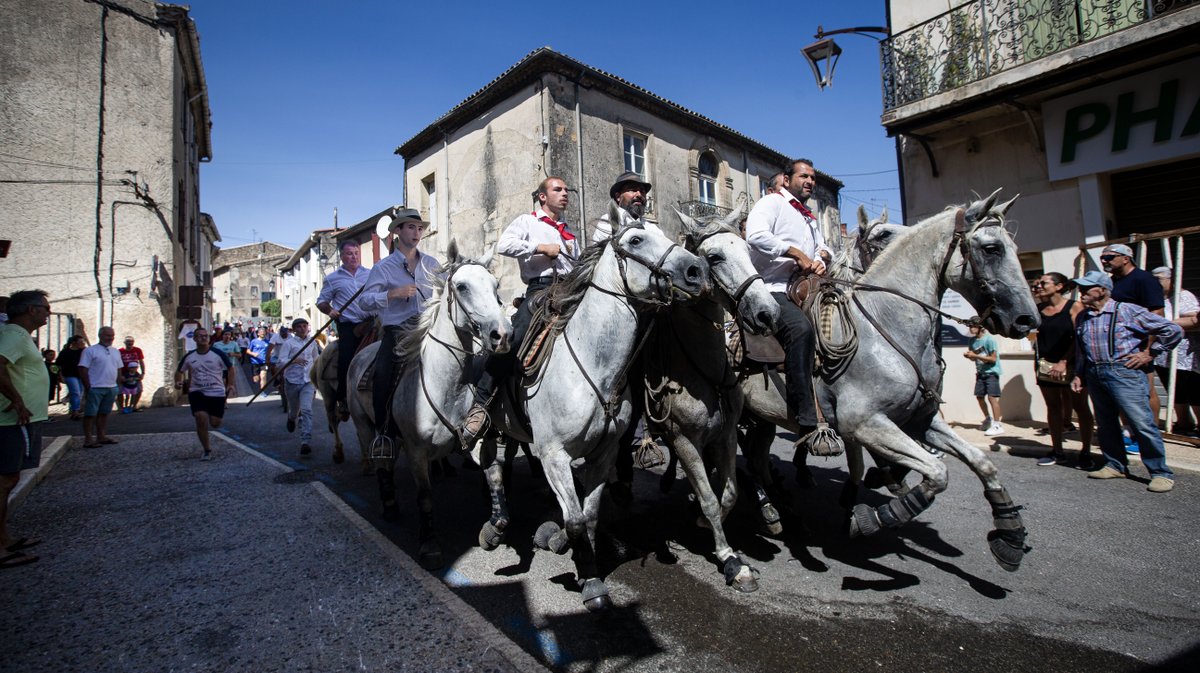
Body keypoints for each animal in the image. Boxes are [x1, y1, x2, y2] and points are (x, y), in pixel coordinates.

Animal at [489, 212, 705, 611]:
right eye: (635, 240)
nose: (696, 271)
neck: (593, 365)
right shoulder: (555, 455)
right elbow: (574, 519)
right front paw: (583, 571)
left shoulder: (604, 453)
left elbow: (588, 516)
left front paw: (583, 567)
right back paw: (495, 524)